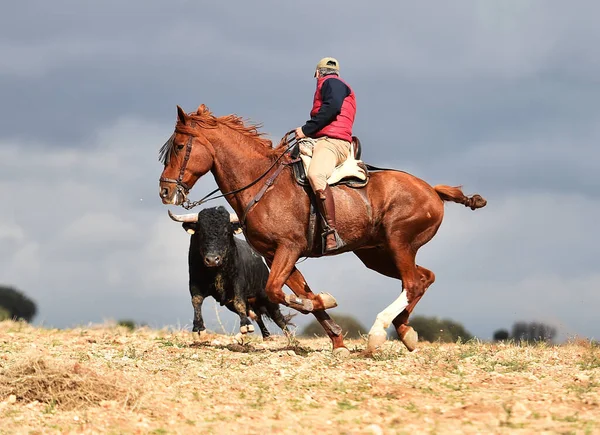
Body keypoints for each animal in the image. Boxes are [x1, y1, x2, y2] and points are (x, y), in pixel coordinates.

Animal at [168, 206, 292, 338]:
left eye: (226, 233)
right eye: (201, 232)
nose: (212, 259)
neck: (215, 271)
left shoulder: (238, 282)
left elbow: (239, 302)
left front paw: (245, 325)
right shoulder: (195, 281)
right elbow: (196, 301)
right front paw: (198, 328)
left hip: (266, 296)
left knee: (278, 318)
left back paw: (291, 338)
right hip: (232, 304)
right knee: (256, 316)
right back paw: (267, 336)